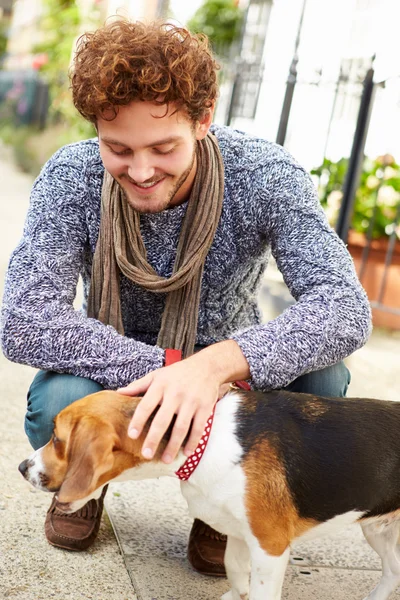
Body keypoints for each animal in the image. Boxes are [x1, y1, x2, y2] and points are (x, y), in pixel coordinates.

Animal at [19, 390, 400, 600]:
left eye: (56, 438)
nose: (22, 467)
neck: (203, 439)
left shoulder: (270, 546)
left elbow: (261, 590)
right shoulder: (239, 532)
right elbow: (233, 567)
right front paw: (236, 595)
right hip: (377, 529)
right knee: (394, 571)